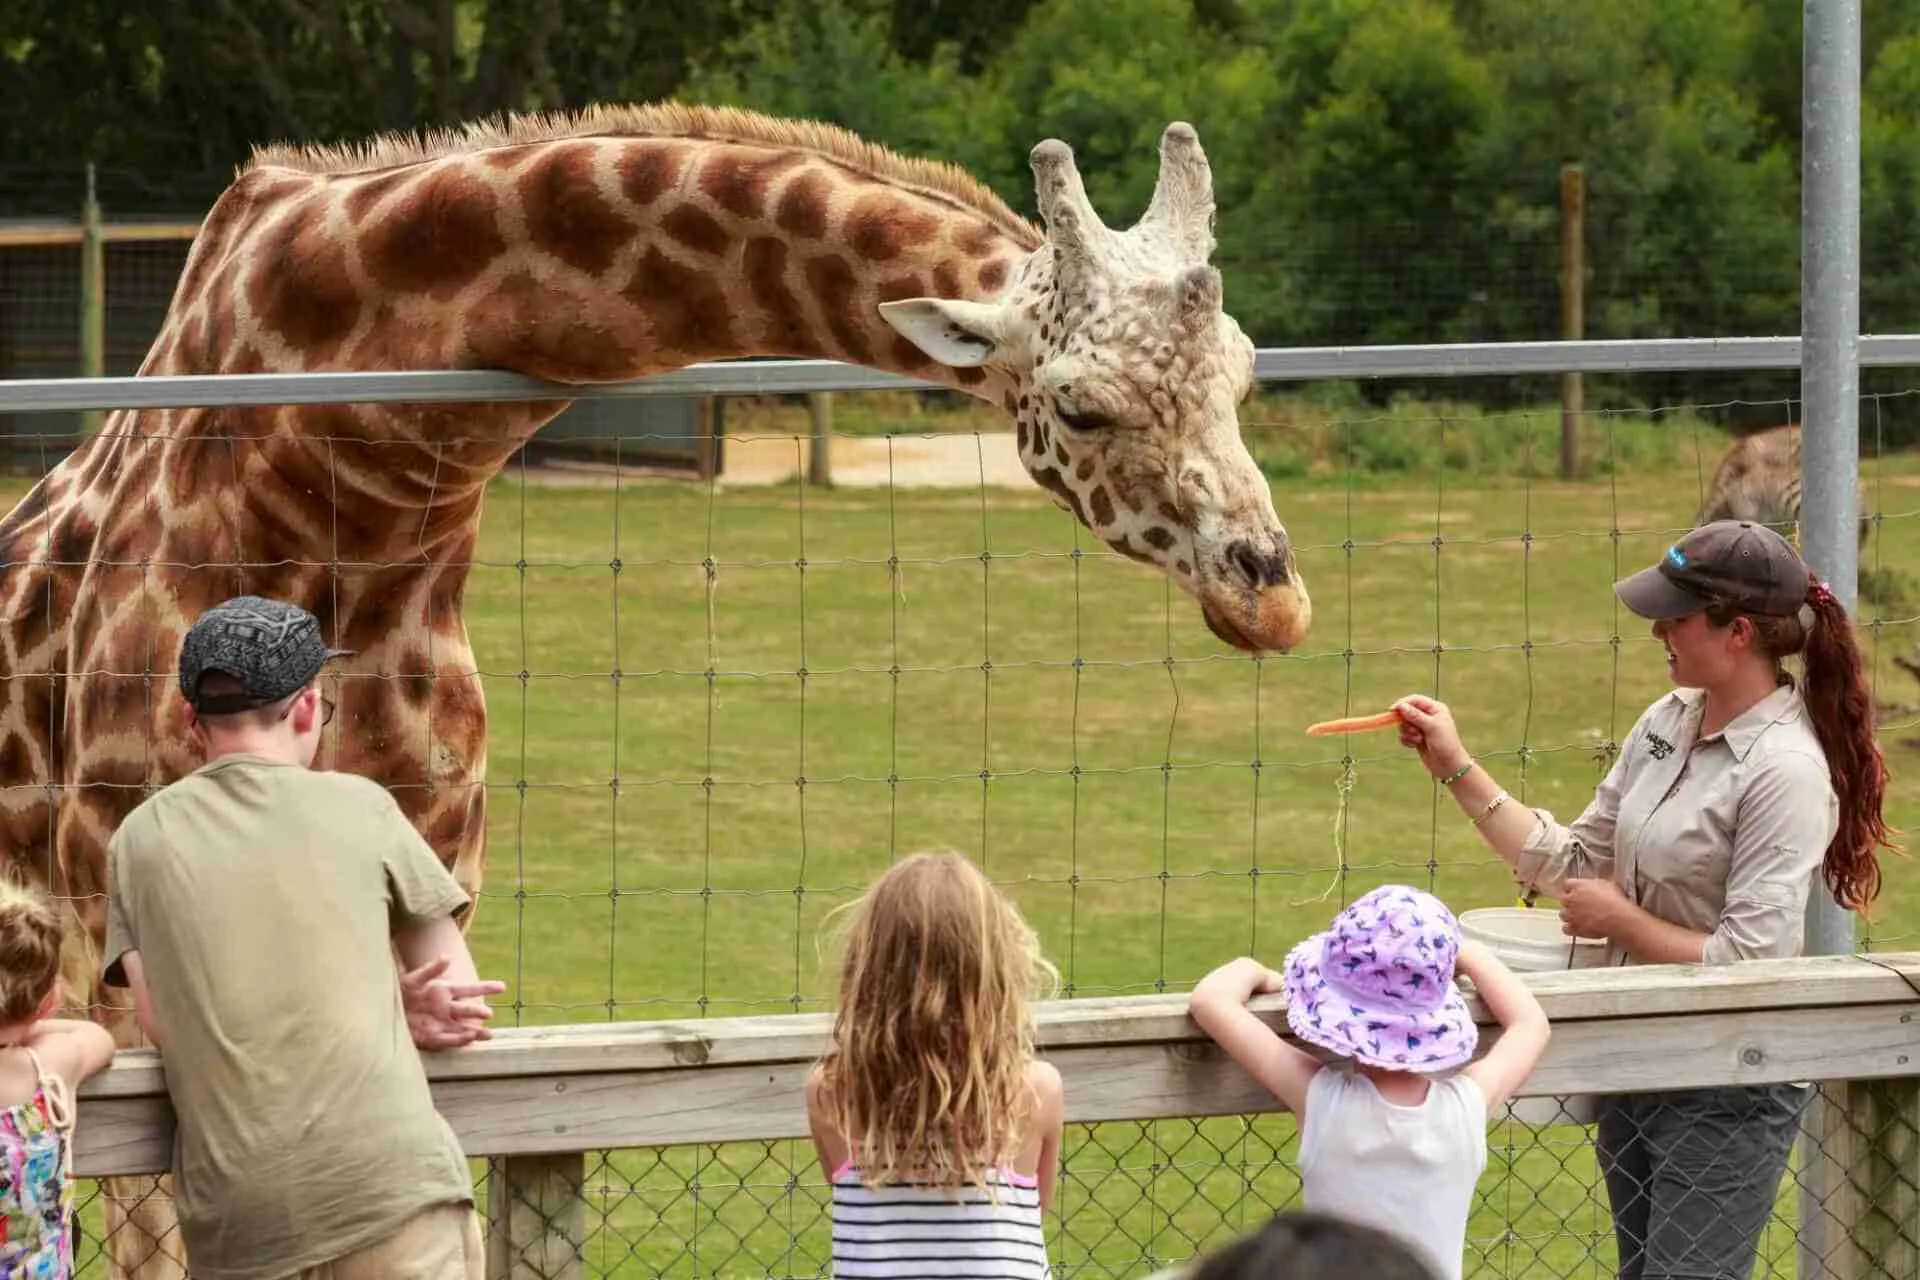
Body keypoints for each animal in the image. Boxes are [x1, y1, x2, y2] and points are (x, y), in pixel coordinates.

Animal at [0, 104, 1308, 1275]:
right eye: (1082, 404)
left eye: (1245, 370)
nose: (1274, 593)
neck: (359, 489)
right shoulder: (129, 936)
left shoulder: (434, 883)